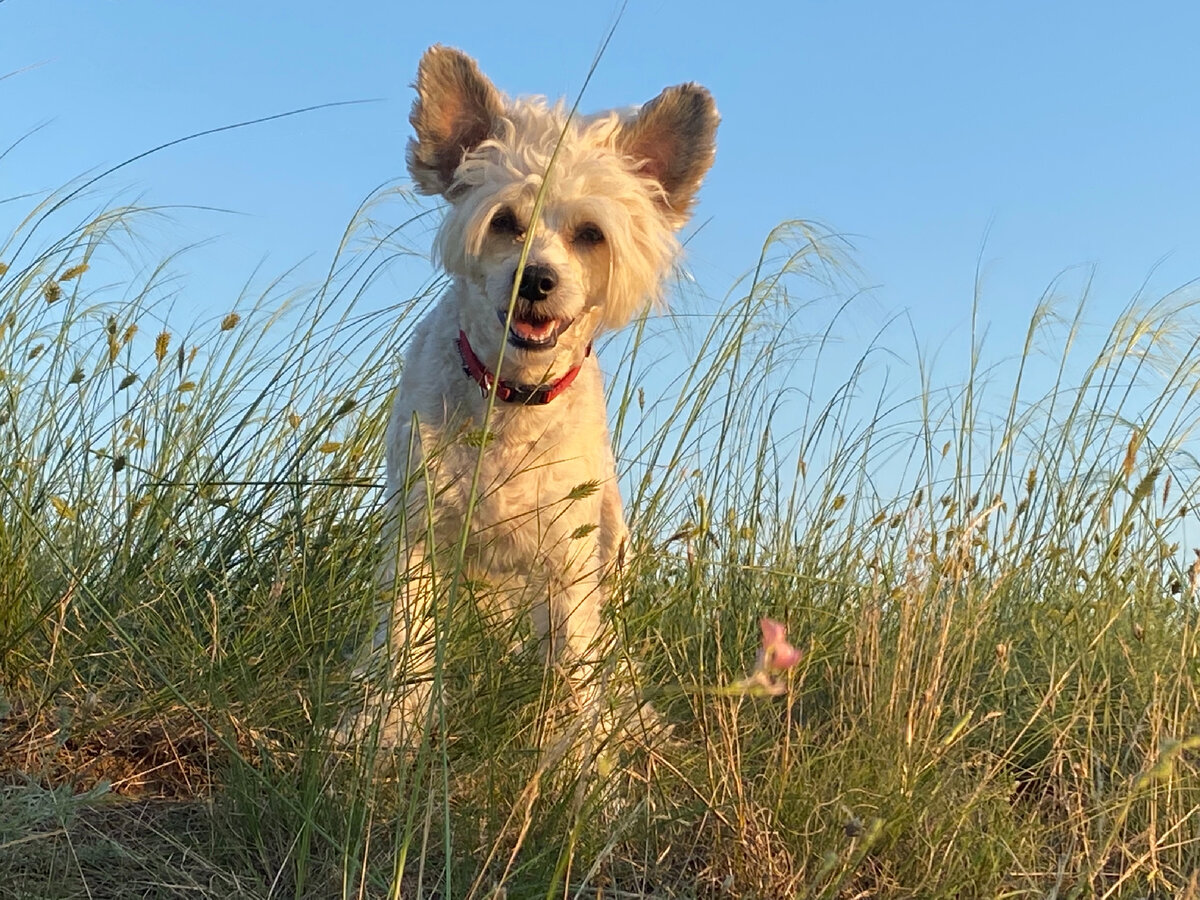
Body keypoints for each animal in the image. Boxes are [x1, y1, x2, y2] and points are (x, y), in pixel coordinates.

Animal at [369, 45, 715, 744]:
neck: (509, 400)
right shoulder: (418, 536)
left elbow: (571, 683)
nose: (536, 279)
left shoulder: (566, 569)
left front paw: (567, 761)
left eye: (590, 234)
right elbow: (404, 651)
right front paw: (387, 737)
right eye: (504, 222)